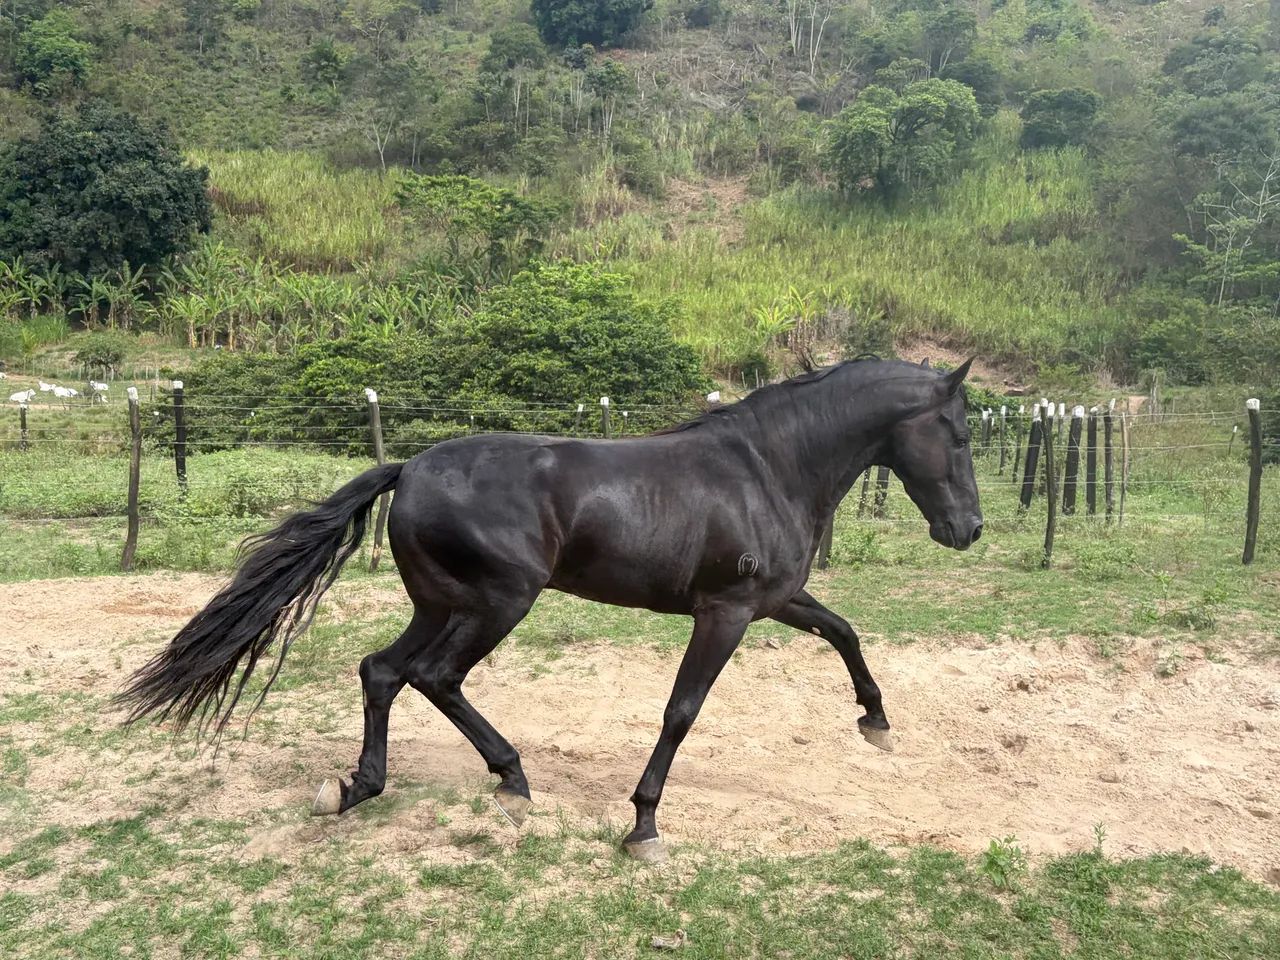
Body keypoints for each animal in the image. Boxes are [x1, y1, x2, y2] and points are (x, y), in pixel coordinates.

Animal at [118, 357, 982, 861]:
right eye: (959, 432)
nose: (968, 529)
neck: (768, 467)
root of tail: (408, 468)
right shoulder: (727, 612)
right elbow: (681, 711)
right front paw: (643, 825)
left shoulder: (773, 600)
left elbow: (843, 631)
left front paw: (875, 720)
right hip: (500, 601)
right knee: (433, 677)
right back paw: (509, 779)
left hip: (441, 603)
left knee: (382, 671)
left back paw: (364, 787)